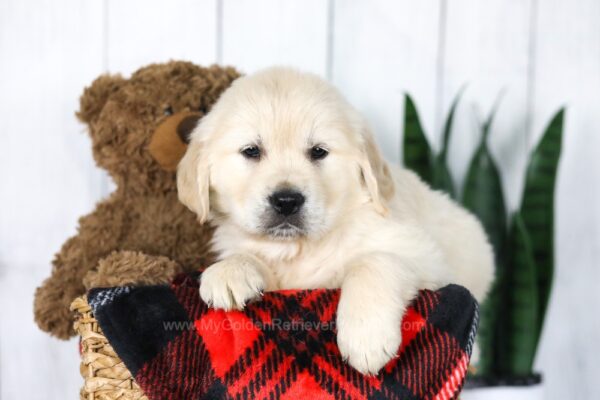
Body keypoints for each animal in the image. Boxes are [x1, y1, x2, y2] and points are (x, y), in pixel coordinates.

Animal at [176, 66, 494, 376]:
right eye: (251, 151)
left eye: (318, 151)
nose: (286, 201)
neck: (301, 247)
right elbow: (251, 258)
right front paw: (230, 271)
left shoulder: (425, 256)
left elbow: (372, 262)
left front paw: (367, 336)